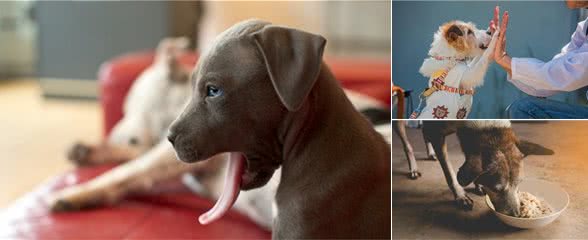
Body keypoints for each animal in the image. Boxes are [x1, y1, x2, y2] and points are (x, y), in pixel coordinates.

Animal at [47, 37, 390, 229]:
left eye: (129, 104)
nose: (116, 133)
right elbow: (134, 161)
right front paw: (87, 151)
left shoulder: (170, 153)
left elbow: (126, 172)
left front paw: (73, 194)